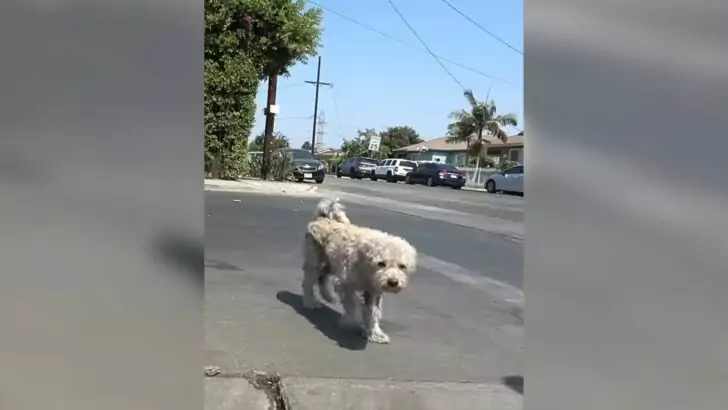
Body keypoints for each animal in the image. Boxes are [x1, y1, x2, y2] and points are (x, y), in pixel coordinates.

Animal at [300, 199, 416, 342]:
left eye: (402, 266)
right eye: (381, 264)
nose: (393, 282)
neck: (366, 265)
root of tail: (323, 217)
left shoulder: (373, 292)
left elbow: (373, 312)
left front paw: (374, 333)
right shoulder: (344, 283)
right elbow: (352, 304)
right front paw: (351, 321)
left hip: (329, 262)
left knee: (323, 278)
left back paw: (328, 296)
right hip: (315, 260)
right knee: (309, 281)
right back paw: (310, 302)